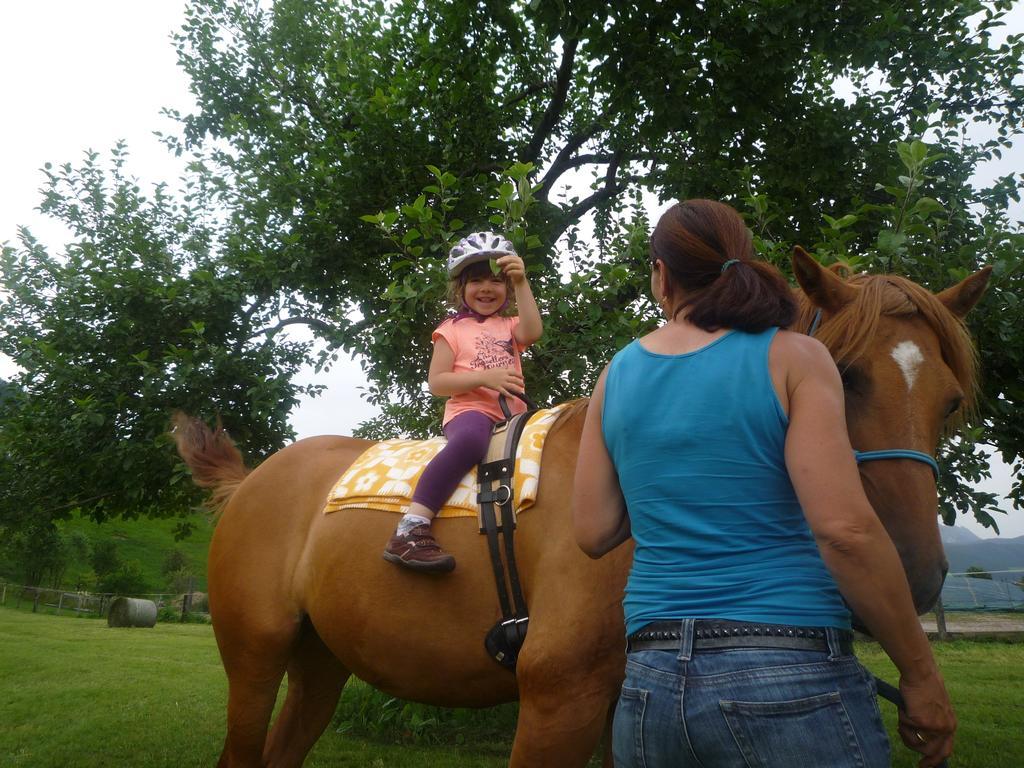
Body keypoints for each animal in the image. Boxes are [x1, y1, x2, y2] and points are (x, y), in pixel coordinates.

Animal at [178, 249, 991, 765]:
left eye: (951, 402)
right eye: (844, 377)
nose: (914, 575)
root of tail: (255, 480)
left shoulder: (619, 710)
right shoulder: (556, 698)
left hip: (320, 662)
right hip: (255, 658)